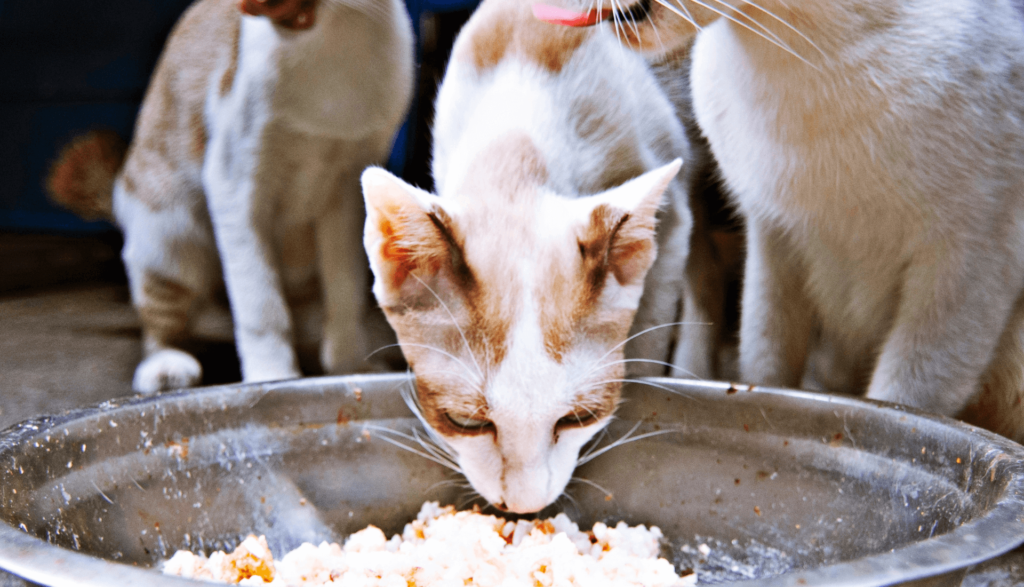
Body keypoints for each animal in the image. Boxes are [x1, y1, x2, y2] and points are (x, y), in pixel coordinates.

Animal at [47, 0, 415, 391]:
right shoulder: (236, 184)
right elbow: (261, 306)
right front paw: (271, 378)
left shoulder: (348, 193)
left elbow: (345, 294)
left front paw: (350, 367)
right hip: (172, 240)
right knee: (161, 325)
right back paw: (165, 365)